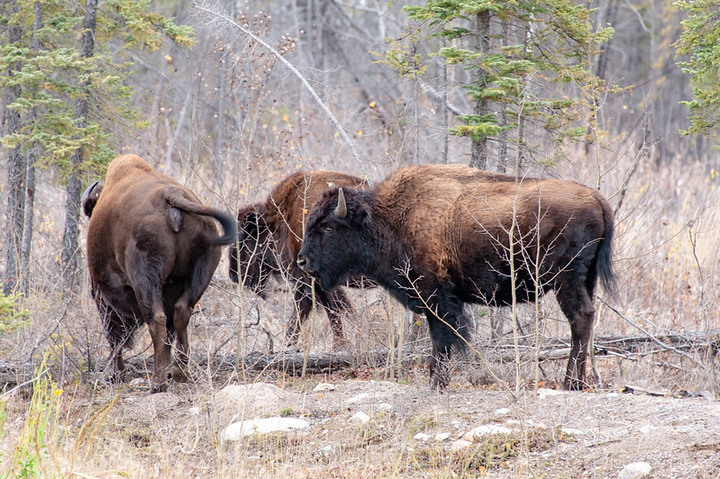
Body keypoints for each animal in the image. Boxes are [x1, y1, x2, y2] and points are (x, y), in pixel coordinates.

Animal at [84, 155, 236, 394]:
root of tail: (171, 198)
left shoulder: (102, 296)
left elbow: (114, 336)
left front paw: (116, 374)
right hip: (200, 273)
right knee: (181, 313)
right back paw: (179, 372)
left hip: (144, 279)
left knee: (156, 320)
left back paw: (158, 383)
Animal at [296, 164, 616, 390]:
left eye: (328, 227)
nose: (303, 261)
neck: (391, 218)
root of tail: (598, 198)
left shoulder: (436, 296)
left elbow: (442, 338)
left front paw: (437, 382)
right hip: (585, 279)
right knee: (584, 320)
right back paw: (578, 381)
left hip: (565, 279)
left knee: (580, 316)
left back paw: (570, 383)